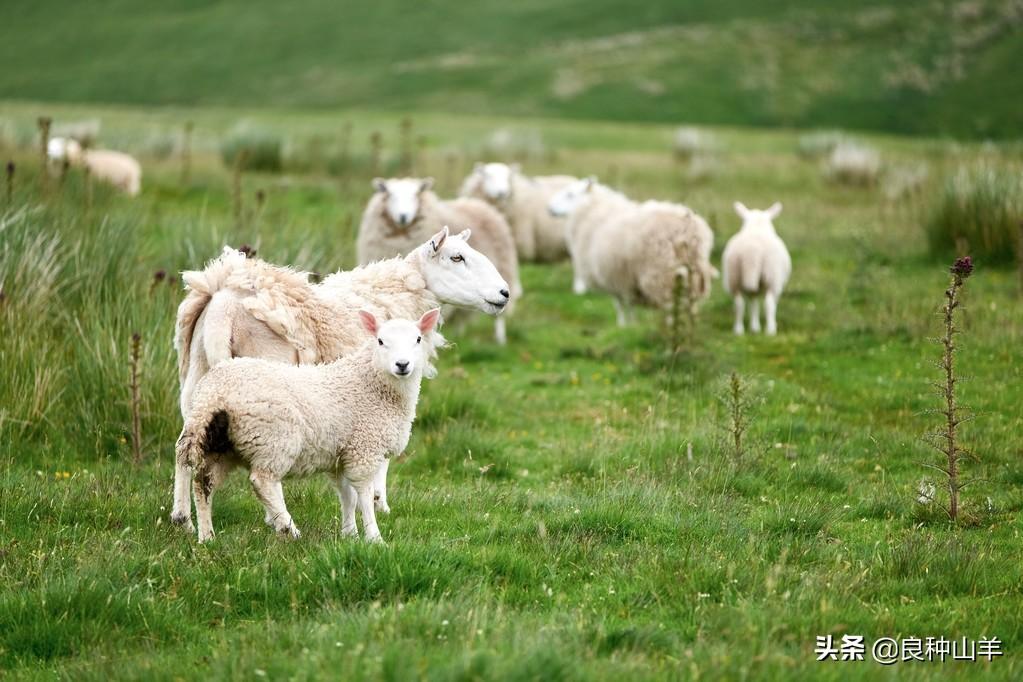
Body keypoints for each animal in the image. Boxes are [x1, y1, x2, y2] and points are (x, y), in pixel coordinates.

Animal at [178, 308, 441, 543]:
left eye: (418, 339)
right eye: (381, 341)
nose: (402, 364)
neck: (371, 382)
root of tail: (214, 395)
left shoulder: (341, 454)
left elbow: (347, 497)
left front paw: (350, 535)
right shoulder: (363, 450)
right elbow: (364, 497)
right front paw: (374, 538)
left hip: (220, 443)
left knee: (203, 482)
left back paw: (206, 537)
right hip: (272, 439)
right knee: (262, 481)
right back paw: (289, 529)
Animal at [548, 175, 716, 325]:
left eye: (570, 194)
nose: (549, 209)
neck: (591, 209)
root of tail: (694, 232)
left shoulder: (616, 277)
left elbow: (621, 305)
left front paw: (625, 326)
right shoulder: (625, 279)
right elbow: (628, 305)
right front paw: (631, 325)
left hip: (662, 273)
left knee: (671, 305)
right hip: (693, 275)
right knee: (690, 305)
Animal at [720, 201, 789, 335]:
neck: (757, 227)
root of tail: (752, 249)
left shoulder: (753, 289)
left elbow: (753, 303)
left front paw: (754, 326)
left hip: (734, 276)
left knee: (739, 303)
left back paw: (739, 330)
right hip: (771, 276)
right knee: (769, 303)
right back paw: (771, 330)